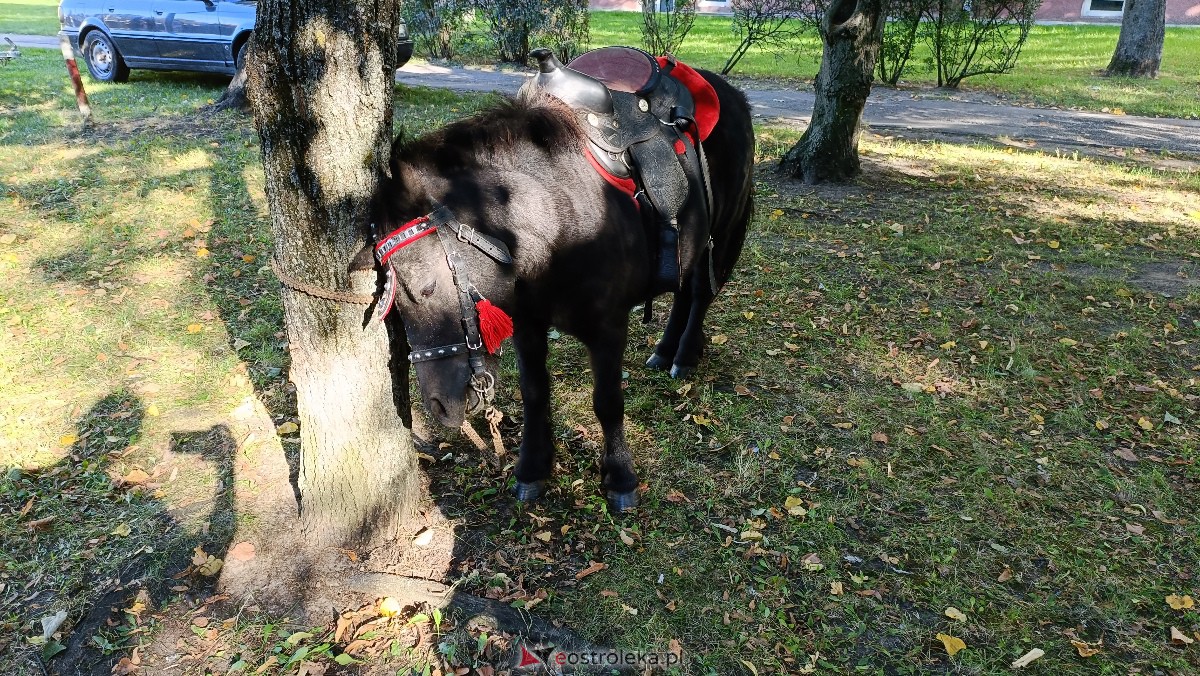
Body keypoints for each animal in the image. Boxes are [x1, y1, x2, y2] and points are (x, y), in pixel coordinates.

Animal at [369, 66, 753, 511]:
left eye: (427, 288)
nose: (437, 405)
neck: (559, 219)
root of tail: (731, 92)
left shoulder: (608, 327)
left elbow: (608, 401)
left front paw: (620, 477)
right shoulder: (528, 325)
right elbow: (535, 394)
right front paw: (533, 468)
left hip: (723, 234)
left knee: (701, 294)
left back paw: (685, 354)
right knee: (683, 292)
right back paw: (665, 351)